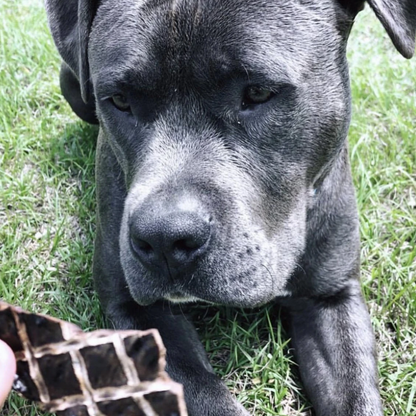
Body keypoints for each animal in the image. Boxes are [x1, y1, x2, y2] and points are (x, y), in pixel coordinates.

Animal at [44, 0, 414, 414]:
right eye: (120, 101)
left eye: (258, 92)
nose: (163, 239)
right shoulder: (133, 310)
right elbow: (205, 395)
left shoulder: (333, 297)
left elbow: (358, 397)